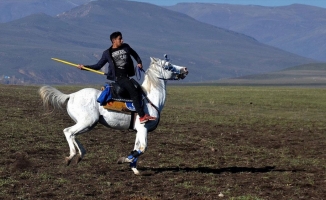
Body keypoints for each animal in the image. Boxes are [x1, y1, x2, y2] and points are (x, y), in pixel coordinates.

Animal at [38, 55, 188, 173]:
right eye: (168, 66)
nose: (185, 69)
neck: (149, 99)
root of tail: (71, 95)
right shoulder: (143, 128)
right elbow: (142, 148)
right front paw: (124, 160)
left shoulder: (138, 130)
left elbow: (136, 148)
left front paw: (134, 168)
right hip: (86, 122)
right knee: (68, 132)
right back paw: (71, 156)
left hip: (89, 124)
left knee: (73, 134)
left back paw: (80, 155)